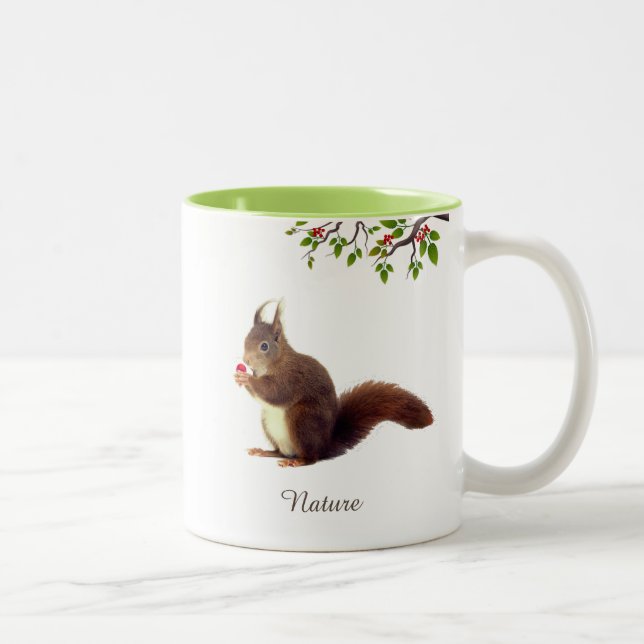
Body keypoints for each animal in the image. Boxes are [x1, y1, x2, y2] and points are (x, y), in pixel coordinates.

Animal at [233, 299, 433, 468]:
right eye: (245, 339)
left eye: (264, 346)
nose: (246, 360)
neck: (277, 361)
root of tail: (325, 445)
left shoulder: (291, 378)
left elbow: (274, 392)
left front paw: (247, 379)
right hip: (268, 423)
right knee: (281, 452)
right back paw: (266, 452)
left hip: (302, 420)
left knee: (312, 458)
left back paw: (297, 461)